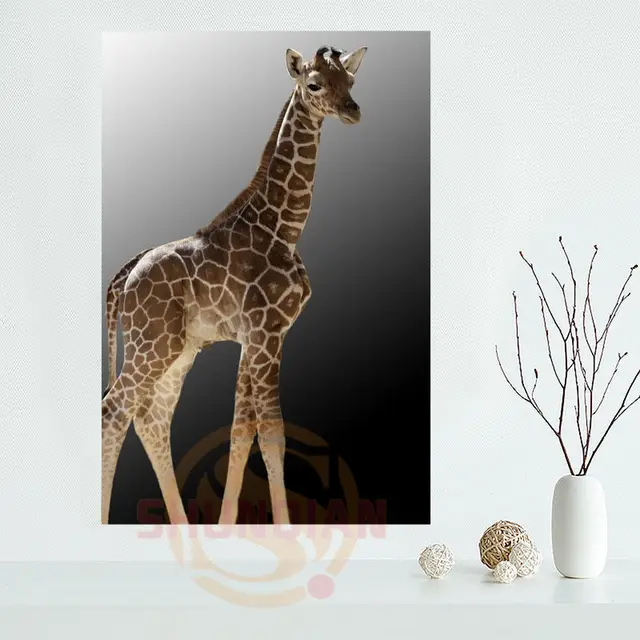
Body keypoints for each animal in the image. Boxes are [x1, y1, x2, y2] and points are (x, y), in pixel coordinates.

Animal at [102, 45, 368, 525]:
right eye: (314, 83)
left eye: (351, 81)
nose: (352, 110)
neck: (285, 228)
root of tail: (125, 276)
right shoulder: (266, 333)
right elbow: (272, 432)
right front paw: (284, 528)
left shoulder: (255, 337)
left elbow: (242, 430)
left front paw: (226, 527)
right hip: (152, 343)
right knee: (114, 410)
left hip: (180, 351)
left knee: (151, 418)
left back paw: (182, 527)